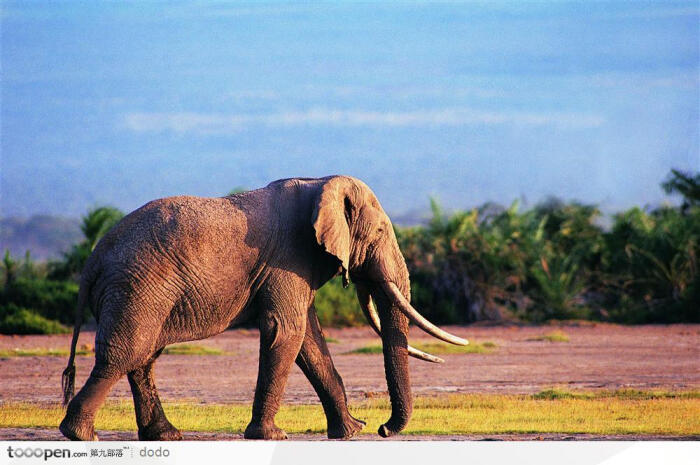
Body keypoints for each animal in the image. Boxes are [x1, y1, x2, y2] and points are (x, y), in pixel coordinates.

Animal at [58, 174, 464, 438]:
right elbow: (287, 332)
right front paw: (272, 436)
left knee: (143, 358)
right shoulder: (288, 257)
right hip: (136, 290)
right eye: (379, 233)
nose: (382, 428)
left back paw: (165, 436)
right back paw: (80, 435)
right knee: (125, 354)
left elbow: (309, 338)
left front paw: (349, 432)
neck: (321, 182)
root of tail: (91, 262)